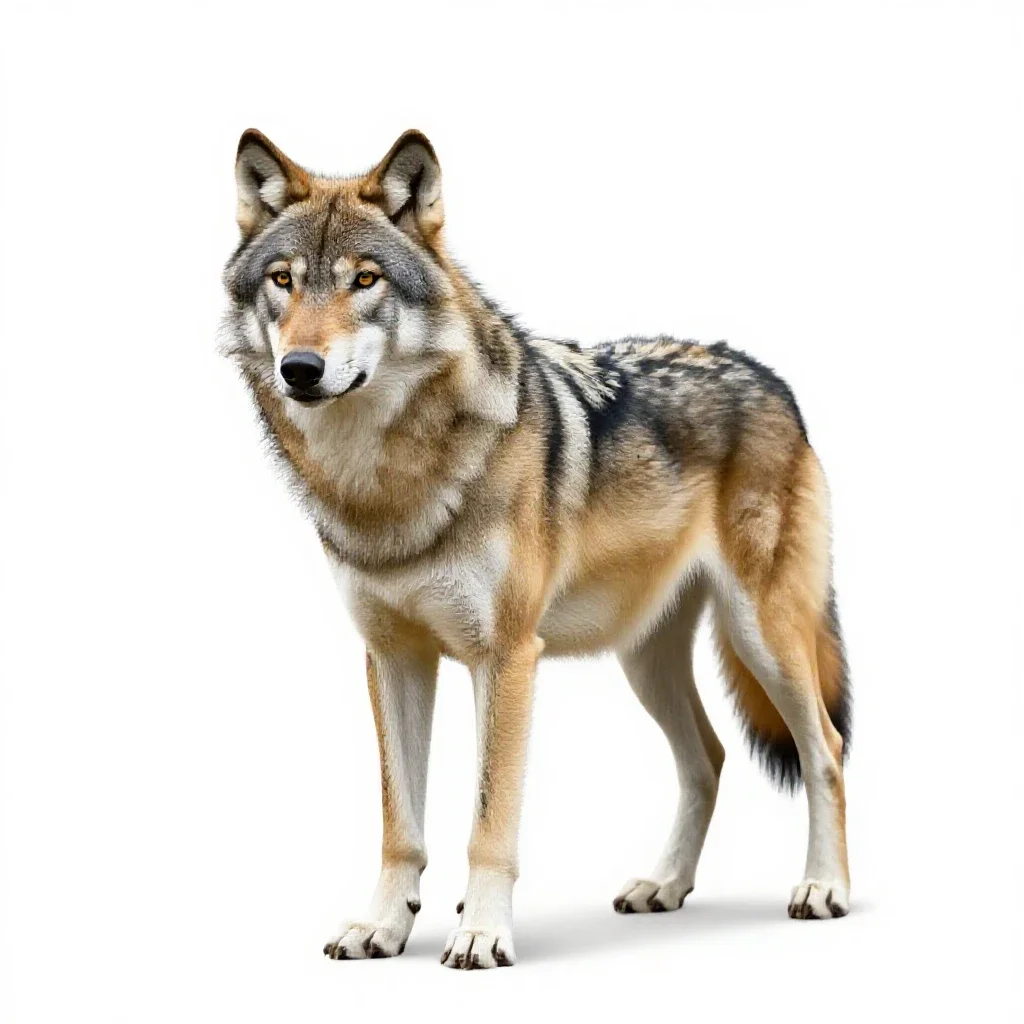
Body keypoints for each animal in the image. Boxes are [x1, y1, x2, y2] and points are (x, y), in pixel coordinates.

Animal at [221, 128, 852, 969]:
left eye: (365, 280)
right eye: (283, 281)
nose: (300, 369)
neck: (386, 484)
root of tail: (770, 377)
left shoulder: (507, 656)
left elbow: (490, 820)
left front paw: (482, 933)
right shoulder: (393, 657)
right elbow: (400, 826)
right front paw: (383, 927)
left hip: (764, 637)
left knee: (825, 748)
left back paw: (823, 888)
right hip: (644, 660)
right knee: (709, 760)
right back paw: (663, 886)